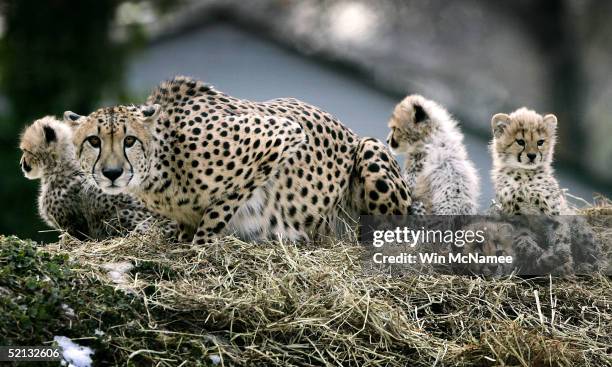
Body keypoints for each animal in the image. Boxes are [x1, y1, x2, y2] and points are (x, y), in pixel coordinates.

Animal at [65, 76, 412, 246]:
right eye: (93, 141)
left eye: (130, 140)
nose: (112, 173)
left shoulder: (280, 135)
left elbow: (218, 212)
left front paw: (201, 248)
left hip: (370, 151)